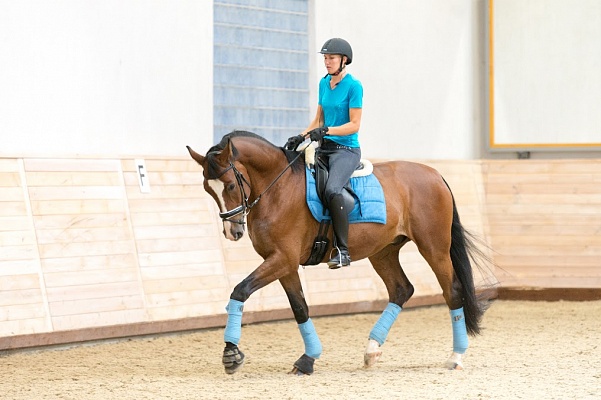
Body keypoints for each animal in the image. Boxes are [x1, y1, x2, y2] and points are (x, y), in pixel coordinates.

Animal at [188, 130, 492, 376]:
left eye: (230, 185)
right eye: (207, 189)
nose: (233, 231)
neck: (278, 188)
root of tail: (435, 174)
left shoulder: (282, 259)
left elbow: (240, 291)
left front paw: (231, 354)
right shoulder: (284, 263)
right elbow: (300, 308)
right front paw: (308, 359)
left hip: (434, 248)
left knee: (452, 291)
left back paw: (455, 357)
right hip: (383, 252)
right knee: (401, 289)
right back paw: (371, 351)